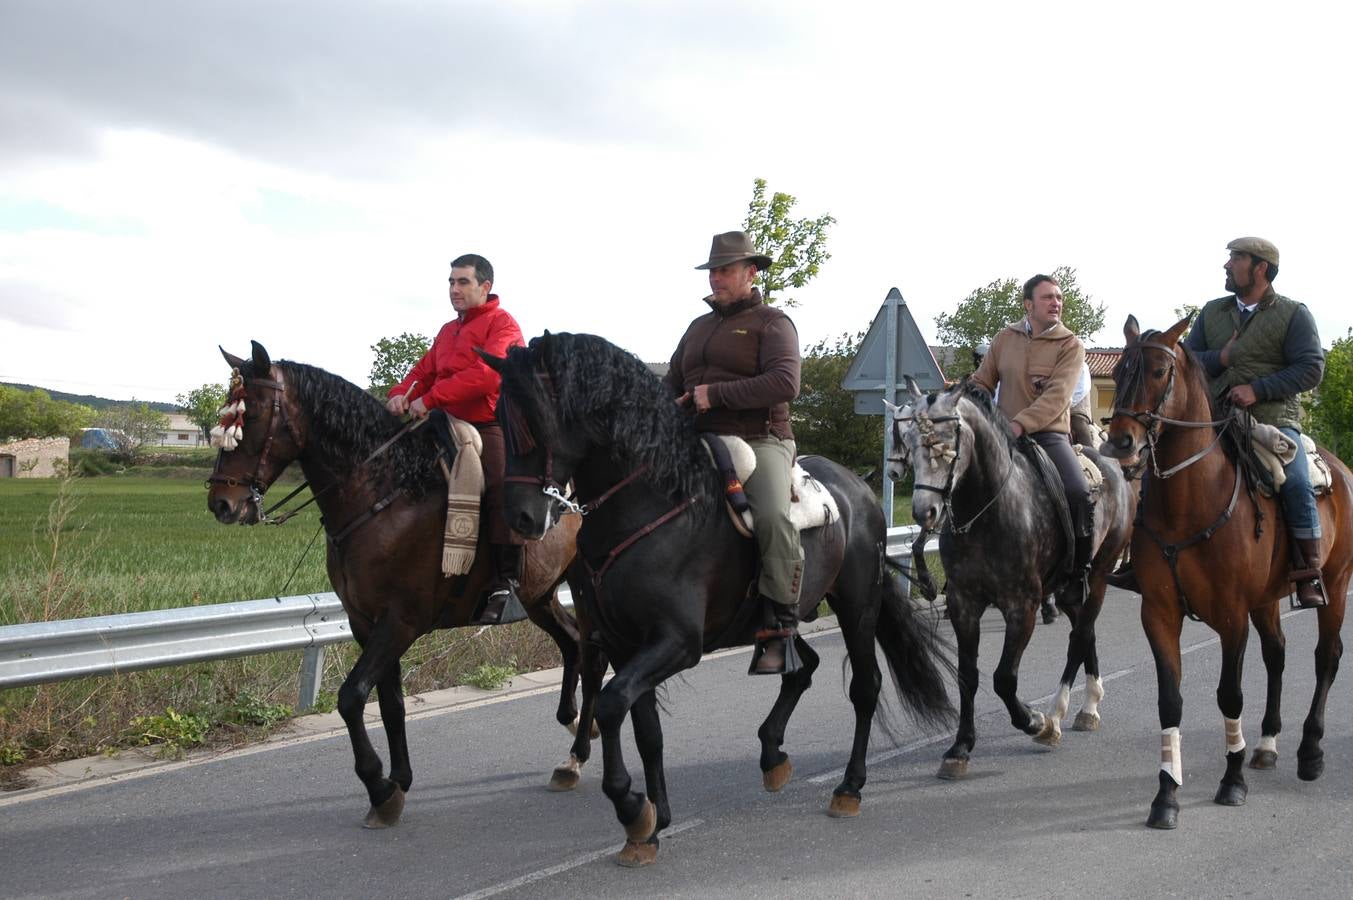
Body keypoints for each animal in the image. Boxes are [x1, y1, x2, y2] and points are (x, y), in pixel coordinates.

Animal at [205, 342, 598, 828]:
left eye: (252, 415)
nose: (222, 503)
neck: (387, 491)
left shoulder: (400, 621)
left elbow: (352, 696)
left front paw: (378, 785)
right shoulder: (366, 621)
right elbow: (390, 702)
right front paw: (399, 780)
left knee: (592, 657)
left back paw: (577, 754)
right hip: (541, 595)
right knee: (574, 644)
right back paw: (574, 730)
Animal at [481, 332, 957, 866]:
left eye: (536, 421)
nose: (521, 519)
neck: (648, 506)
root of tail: (860, 489)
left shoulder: (677, 643)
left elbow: (610, 703)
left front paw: (631, 806)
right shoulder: (627, 645)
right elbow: (643, 725)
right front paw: (653, 822)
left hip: (857, 607)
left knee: (866, 686)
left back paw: (849, 787)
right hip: (784, 620)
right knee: (802, 668)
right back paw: (772, 754)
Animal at [882, 376, 1136, 774]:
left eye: (945, 444)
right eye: (907, 438)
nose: (925, 512)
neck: (988, 511)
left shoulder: (1022, 606)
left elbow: (1003, 678)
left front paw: (1035, 722)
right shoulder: (964, 603)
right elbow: (967, 676)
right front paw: (960, 747)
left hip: (1097, 576)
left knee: (1079, 637)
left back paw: (1058, 714)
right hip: (1069, 588)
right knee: (1086, 632)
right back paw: (1089, 705)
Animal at [1104, 315, 1353, 828]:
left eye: (1159, 371)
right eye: (1117, 372)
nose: (1120, 441)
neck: (1188, 504)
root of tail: (1342, 470)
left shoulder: (1232, 615)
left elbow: (1230, 695)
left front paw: (1231, 781)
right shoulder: (1159, 613)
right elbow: (1170, 700)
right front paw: (1167, 795)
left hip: (1335, 585)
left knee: (1327, 656)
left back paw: (1310, 751)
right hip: (1268, 599)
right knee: (1277, 654)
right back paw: (1267, 744)